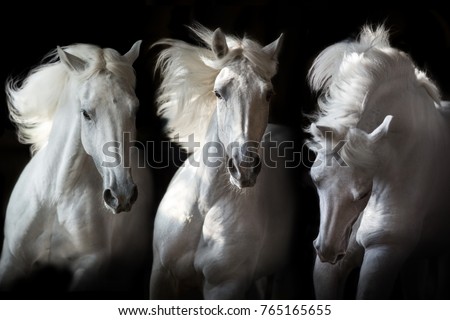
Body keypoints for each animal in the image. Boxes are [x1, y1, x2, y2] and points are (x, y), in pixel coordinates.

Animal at [0, 40, 153, 292]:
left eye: (135, 109)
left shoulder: (89, 267)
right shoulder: (12, 261)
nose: (121, 195)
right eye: (86, 113)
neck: (56, 197)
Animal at [149, 23, 298, 298]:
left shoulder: (225, 286)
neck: (205, 204)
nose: (244, 168)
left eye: (268, 94)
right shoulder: (162, 274)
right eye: (218, 93)